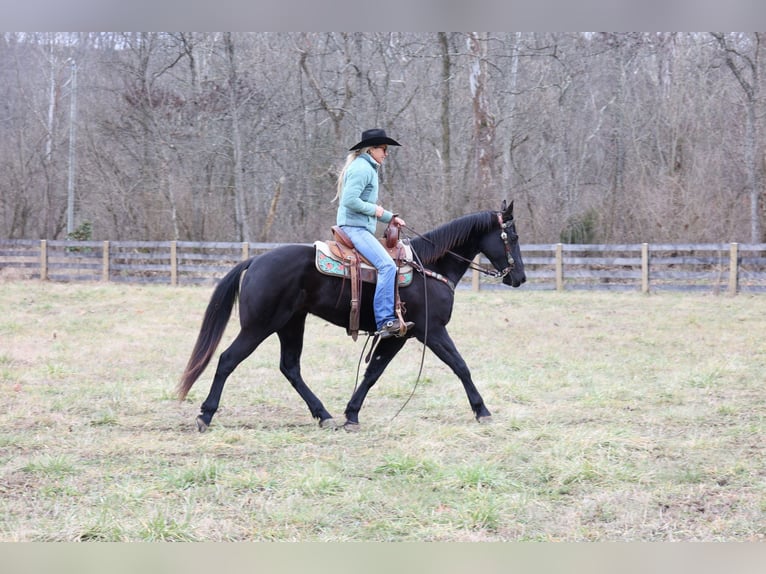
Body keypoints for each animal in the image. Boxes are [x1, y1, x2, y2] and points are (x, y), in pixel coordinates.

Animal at [178, 202, 528, 432]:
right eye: (512, 237)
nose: (520, 277)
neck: (430, 266)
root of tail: (256, 261)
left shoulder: (399, 335)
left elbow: (373, 372)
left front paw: (351, 414)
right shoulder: (433, 330)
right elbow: (460, 366)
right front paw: (482, 410)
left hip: (291, 324)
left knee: (290, 368)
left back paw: (324, 414)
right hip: (259, 326)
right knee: (227, 360)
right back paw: (205, 415)